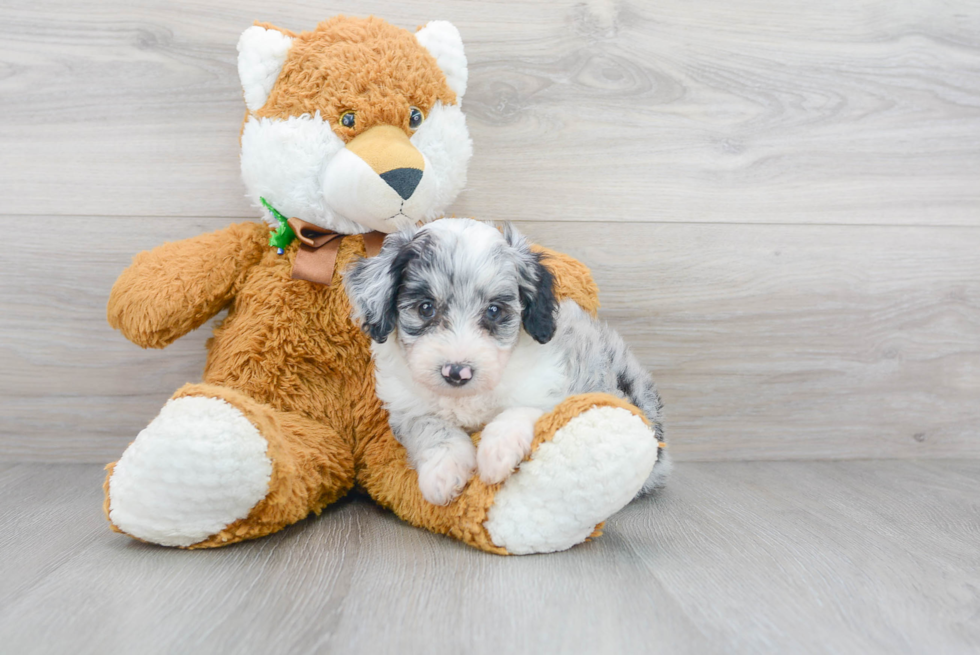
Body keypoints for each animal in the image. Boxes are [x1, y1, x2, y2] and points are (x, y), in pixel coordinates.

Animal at [340, 220, 668, 508]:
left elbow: (520, 411)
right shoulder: (408, 409)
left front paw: (498, 453)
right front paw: (444, 472)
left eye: (494, 311)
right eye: (425, 308)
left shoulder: (550, 388)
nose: (457, 373)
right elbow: (433, 428)